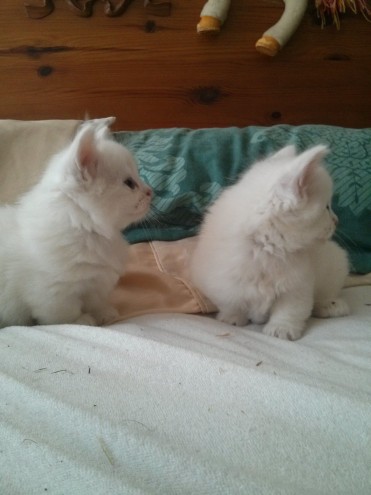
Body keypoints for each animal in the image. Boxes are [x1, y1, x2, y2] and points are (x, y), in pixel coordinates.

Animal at [0, 120, 153, 330]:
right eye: (130, 183)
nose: (151, 191)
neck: (83, 227)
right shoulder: (53, 291)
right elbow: (64, 313)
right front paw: (81, 321)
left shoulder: (96, 280)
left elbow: (95, 301)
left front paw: (103, 314)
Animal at [192, 144, 352, 340]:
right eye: (326, 208)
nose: (336, 220)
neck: (265, 249)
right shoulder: (220, 282)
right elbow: (231, 302)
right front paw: (232, 318)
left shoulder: (297, 285)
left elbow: (290, 310)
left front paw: (281, 329)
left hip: (335, 265)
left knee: (327, 292)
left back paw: (330, 305)